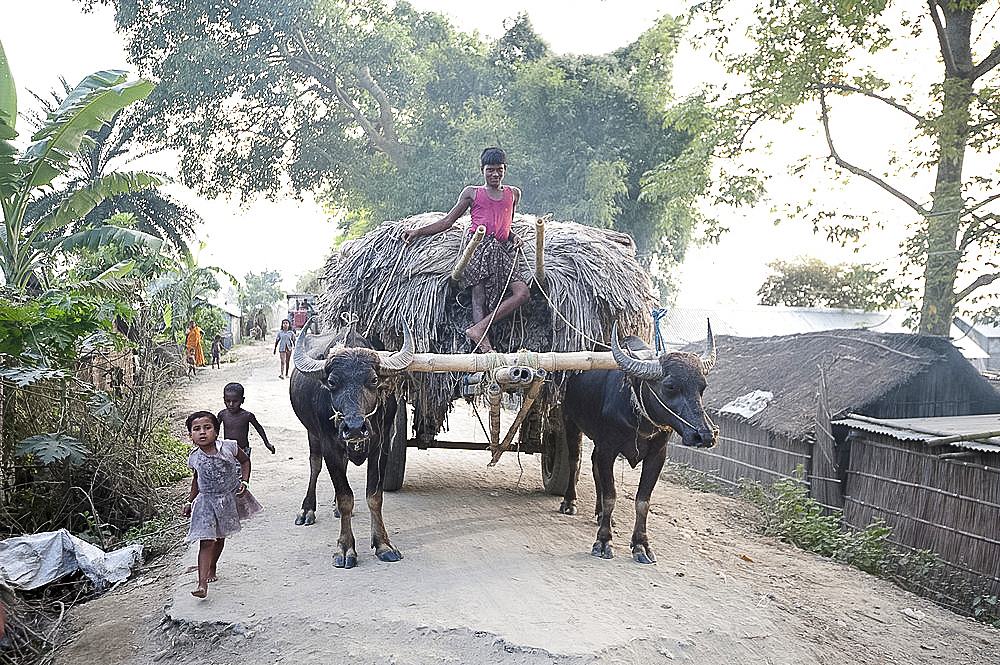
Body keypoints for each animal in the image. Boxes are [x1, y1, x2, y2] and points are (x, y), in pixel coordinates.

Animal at [290, 320, 414, 568]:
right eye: (332, 382)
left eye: (373, 380)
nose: (355, 427)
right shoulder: (331, 447)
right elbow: (346, 497)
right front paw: (346, 548)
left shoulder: (381, 447)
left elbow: (374, 496)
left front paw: (383, 544)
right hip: (312, 434)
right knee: (315, 465)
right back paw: (307, 510)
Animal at [560, 320, 716, 564]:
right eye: (670, 386)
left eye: (702, 387)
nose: (706, 435)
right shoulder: (608, 449)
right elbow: (611, 496)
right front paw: (603, 542)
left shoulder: (657, 455)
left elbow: (643, 501)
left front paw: (641, 545)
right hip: (570, 420)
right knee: (575, 460)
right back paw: (569, 502)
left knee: (593, 466)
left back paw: (600, 514)